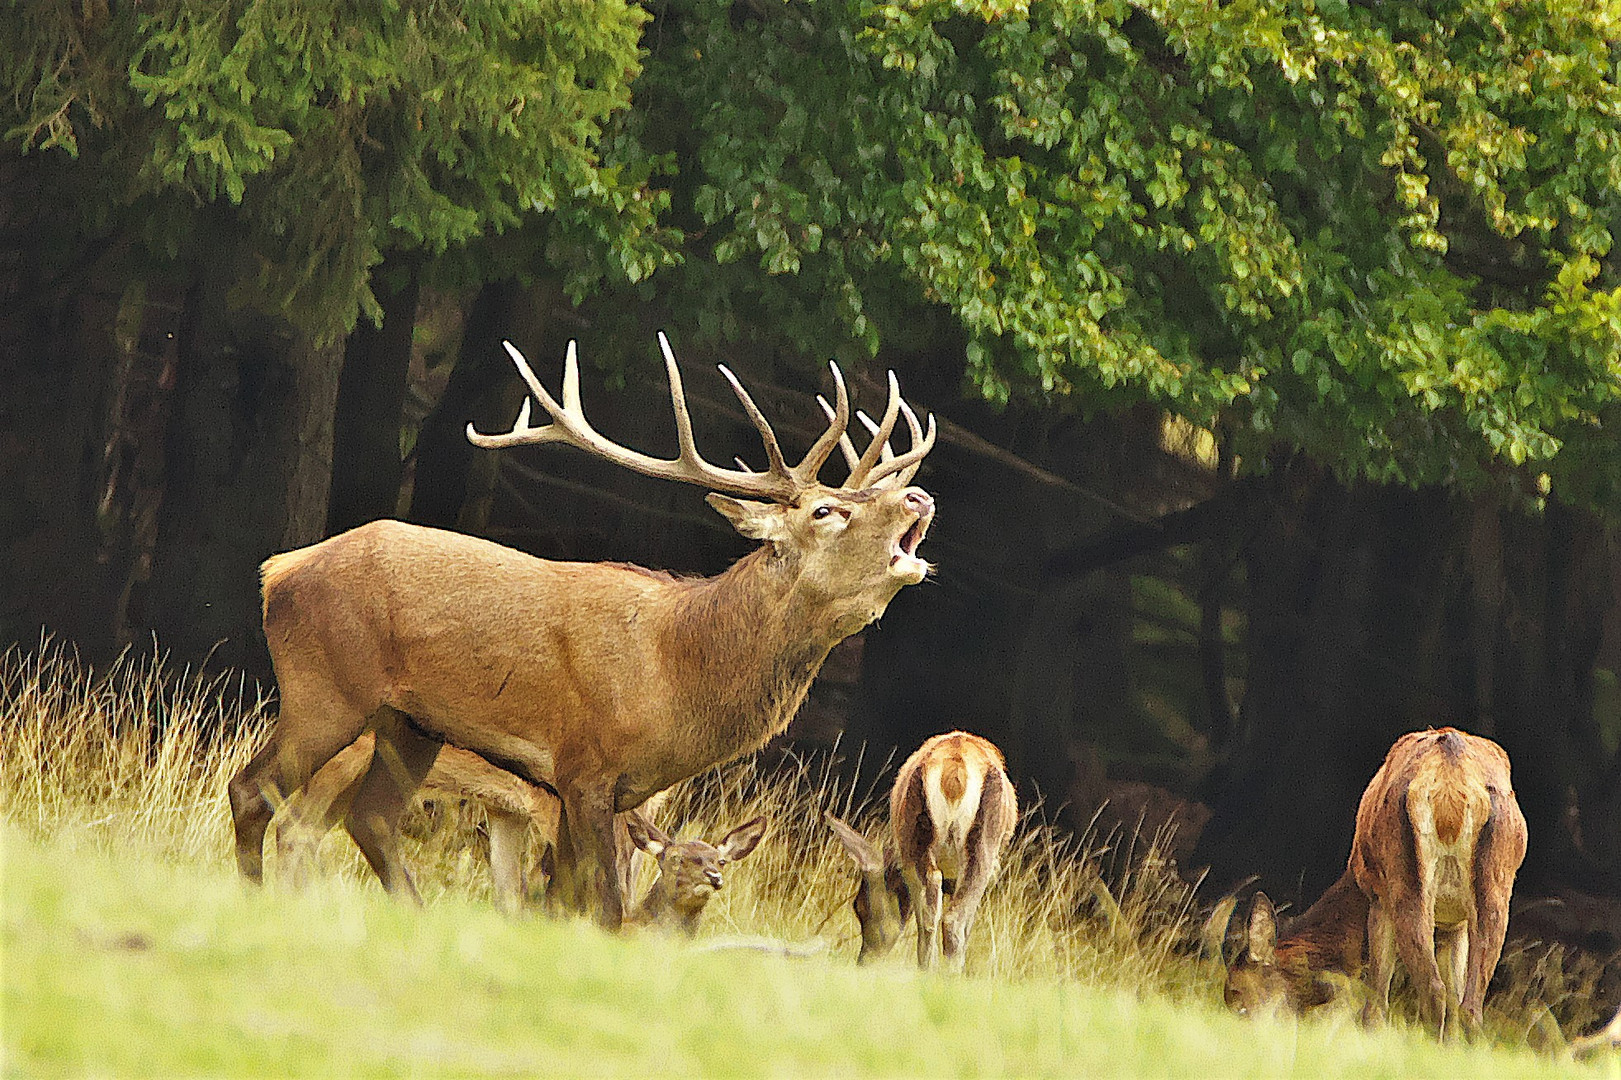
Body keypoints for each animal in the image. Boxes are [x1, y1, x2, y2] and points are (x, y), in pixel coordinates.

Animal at [829, 732, 1017, 966]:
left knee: (930, 913)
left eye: (858, 906)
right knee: (952, 919)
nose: (864, 960)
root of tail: (954, 773)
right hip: (981, 850)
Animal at [1218, 723, 1523, 1037]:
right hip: (1495, 884)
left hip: (1403, 879)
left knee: (1432, 990)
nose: (1238, 1025)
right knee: (1469, 1005)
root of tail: (1451, 783)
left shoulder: (1376, 894)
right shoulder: (1454, 922)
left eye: (1236, 990)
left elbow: (1375, 1001)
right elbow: (1455, 998)